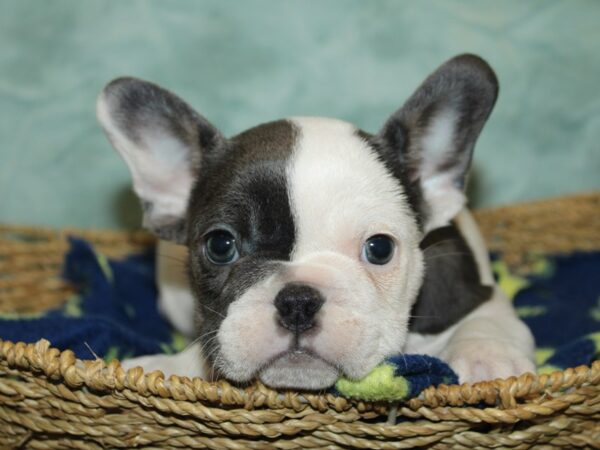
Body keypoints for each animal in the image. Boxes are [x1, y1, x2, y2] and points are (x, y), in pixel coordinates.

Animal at [97, 54, 536, 388]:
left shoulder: (471, 292)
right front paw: (166, 367)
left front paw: (486, 356)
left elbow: (488, 318)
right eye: (220, 245)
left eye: (379, 249)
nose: (297, 301)